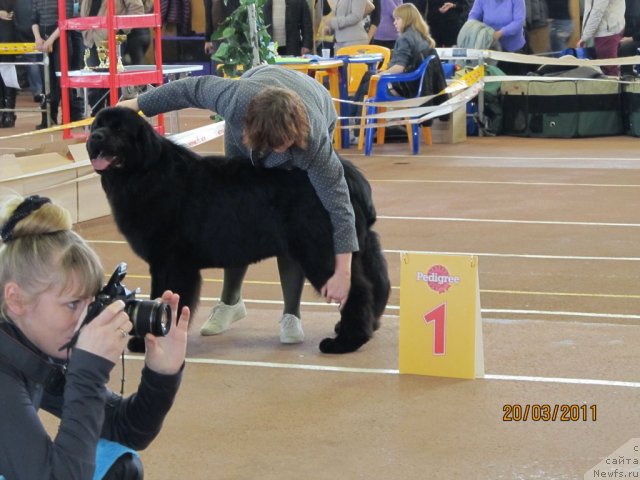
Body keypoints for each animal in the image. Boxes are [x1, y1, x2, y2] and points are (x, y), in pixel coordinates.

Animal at [88, 108, 392, 352]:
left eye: (118, 129)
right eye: (95, 126)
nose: (95, 138)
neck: (145, 173)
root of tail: (350, 176)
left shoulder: (170, 262)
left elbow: (165, 297)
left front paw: (150, 340)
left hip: (321, 249)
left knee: (356, 289)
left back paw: (346, 342)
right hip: (361, 246)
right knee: (378, 282)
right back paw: (366, 326)